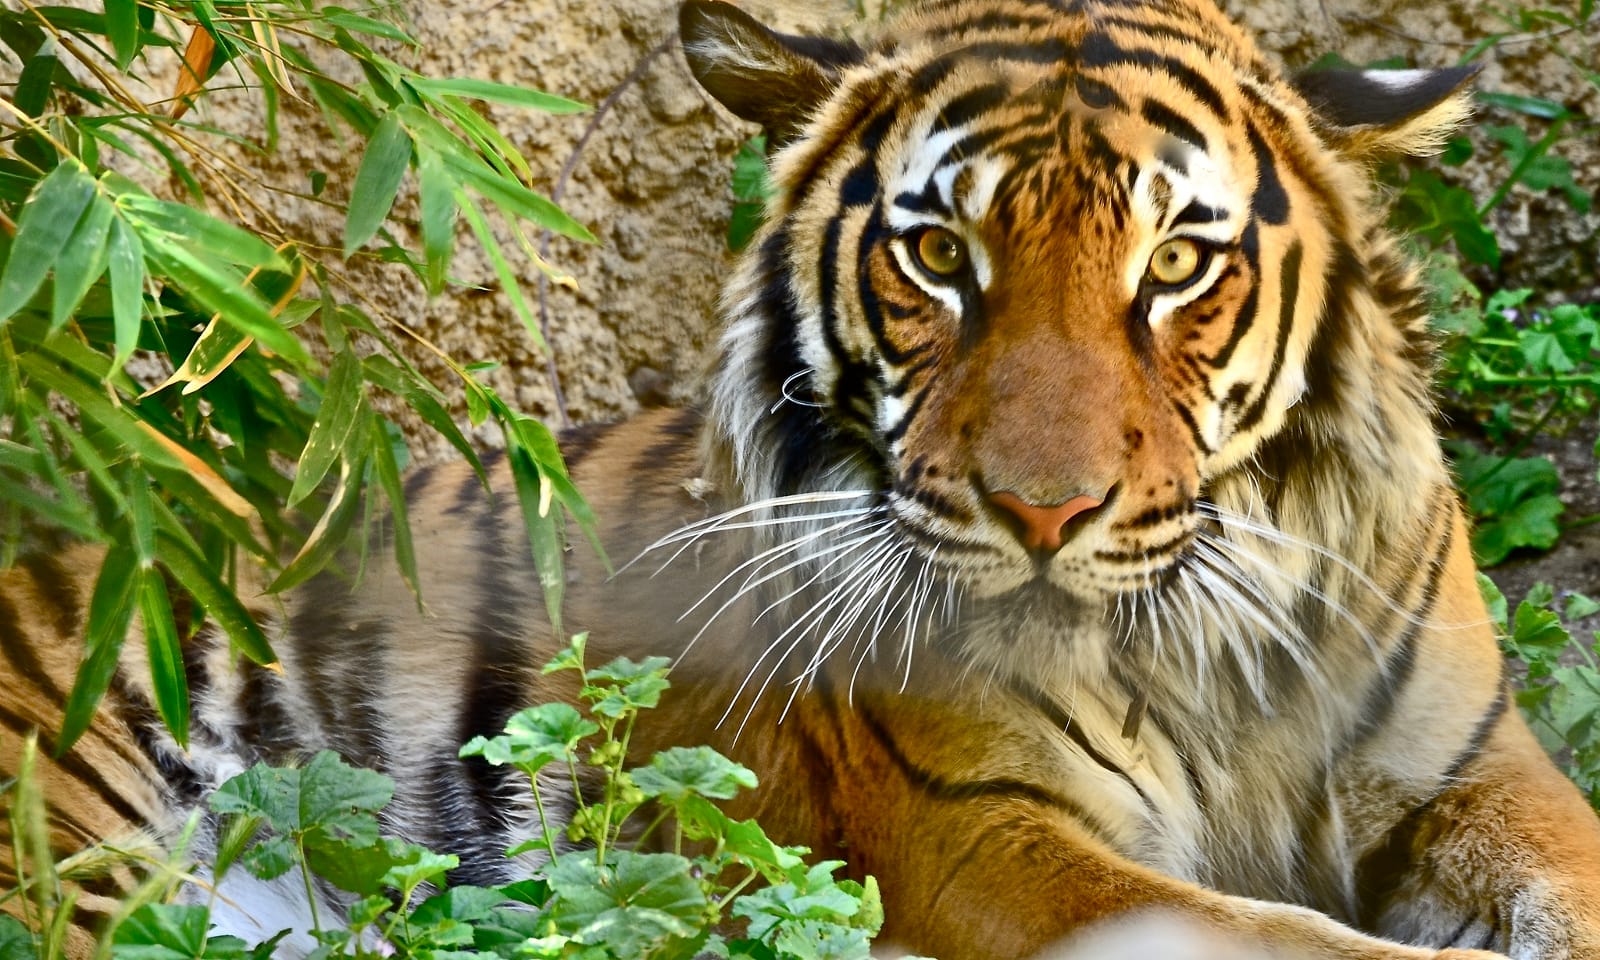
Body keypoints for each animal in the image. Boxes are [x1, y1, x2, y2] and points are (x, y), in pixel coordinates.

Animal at [6, 0, 1600, 957]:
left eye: (1175, 266)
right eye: (940, 257)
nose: (1045, 514)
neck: (1197, 636)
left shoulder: (1481, 773)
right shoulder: (977, 836)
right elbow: (1282, 938)